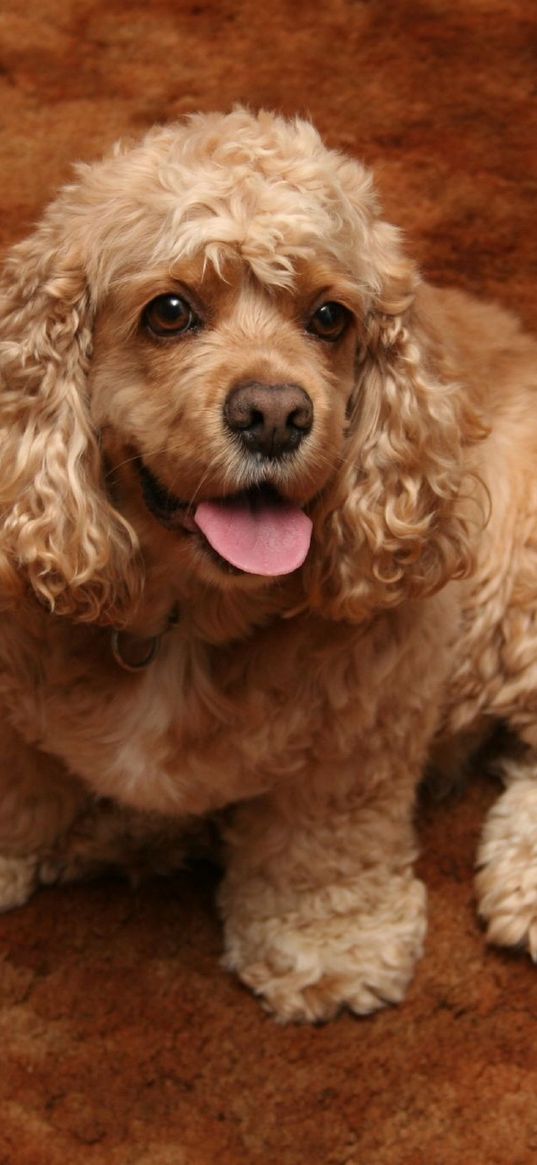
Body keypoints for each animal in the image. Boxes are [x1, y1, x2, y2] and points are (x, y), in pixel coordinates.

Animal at [1, 109, 535, 1020]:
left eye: (328, 317)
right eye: (169, 311)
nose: (276, 414)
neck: (181, 620)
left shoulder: (365, 720)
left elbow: (322, 841)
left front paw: (326, 946)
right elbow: (19, 778)